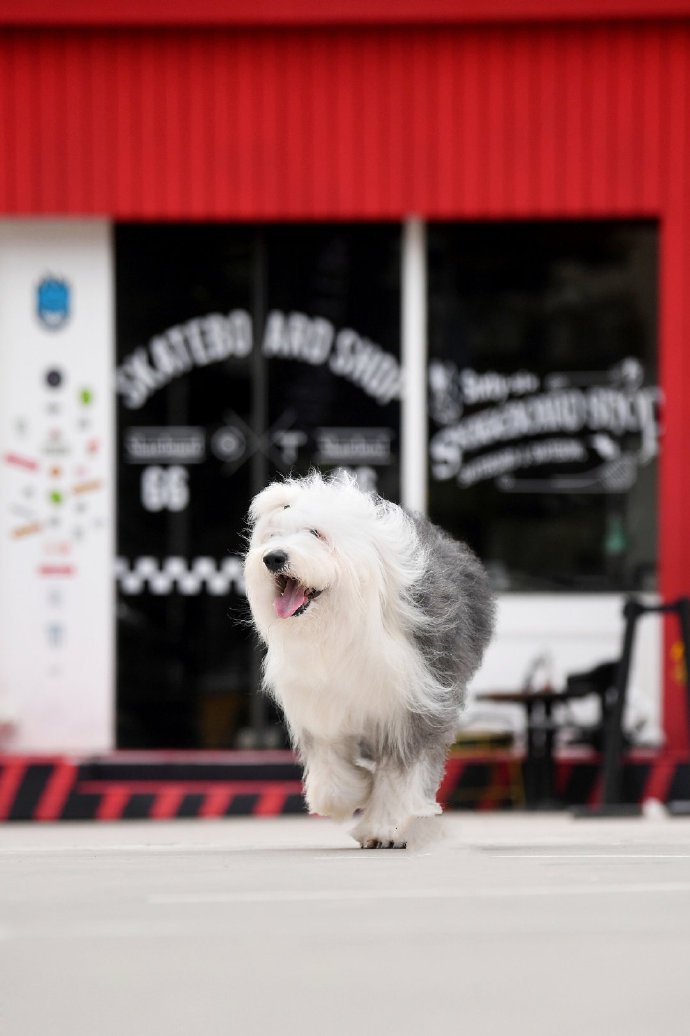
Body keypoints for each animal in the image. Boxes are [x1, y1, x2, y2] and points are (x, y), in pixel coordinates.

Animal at [243, 474, 495, 845]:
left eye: (316, 533)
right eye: (272, 536)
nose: (274, 558)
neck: (341, 623)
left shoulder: (413, 707)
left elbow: (401, 774)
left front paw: (386, 828)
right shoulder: (320, 706)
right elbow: (330, 763)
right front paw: (350, 795)